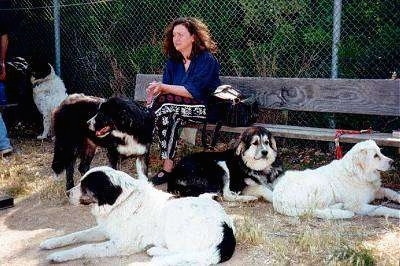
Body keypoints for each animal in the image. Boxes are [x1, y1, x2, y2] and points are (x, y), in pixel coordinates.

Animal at [40, 165, 236, 264]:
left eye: (85, 186)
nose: (67, 193)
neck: (121, 202)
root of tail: (227, 230)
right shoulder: (104, 229)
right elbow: (75, 235)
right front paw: (51, 243)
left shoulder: (121, 244)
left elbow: (85, 248)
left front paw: (60, 256)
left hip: (174, 223)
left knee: (183, 253)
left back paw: (155, 250)